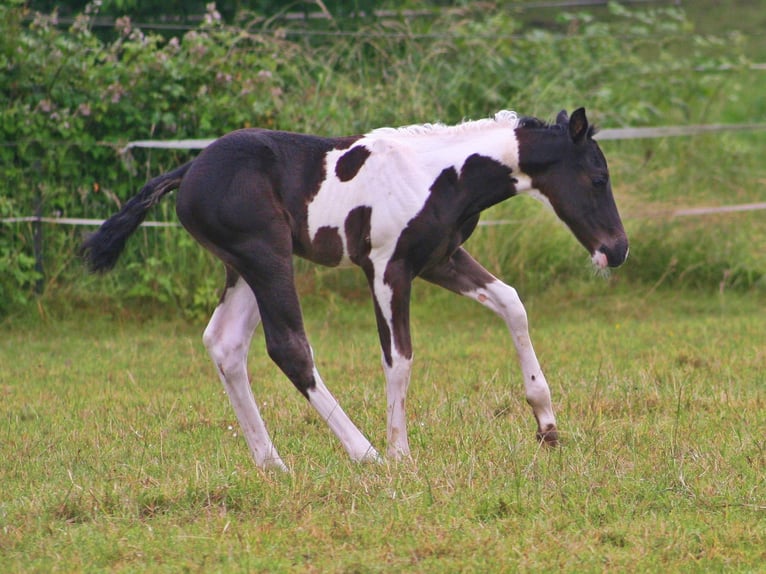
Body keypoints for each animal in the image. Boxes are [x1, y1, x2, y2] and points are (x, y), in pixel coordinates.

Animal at [81, 108, 628, 470]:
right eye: (598, 177)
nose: (617, 250)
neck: (439, 177)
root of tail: (188, 169)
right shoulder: (387, 268)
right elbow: (399, 356)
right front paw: (400, 452)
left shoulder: (439, 259)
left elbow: (512, 303)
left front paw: (546, 423)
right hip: (266, 259)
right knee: (289, 348)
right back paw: (366, 455)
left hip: (246, 269)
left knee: (225, 344)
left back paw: (272, 463)